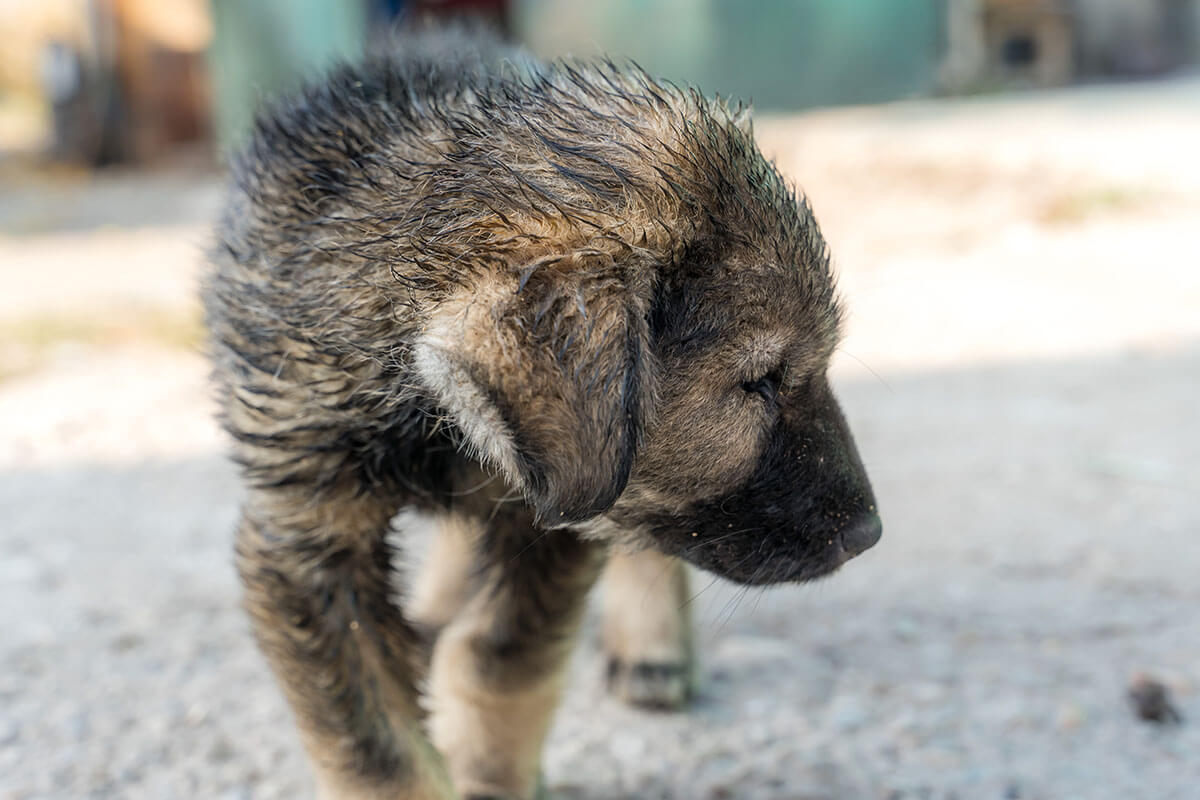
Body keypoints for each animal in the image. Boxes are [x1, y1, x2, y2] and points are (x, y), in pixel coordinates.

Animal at [204, 28, 883, 796]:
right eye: (761, 383)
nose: (869, 532)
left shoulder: (558, 526)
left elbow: (498, 661)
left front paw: (488, 771)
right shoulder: (305, 535)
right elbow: (373, 742)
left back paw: (650, 646)